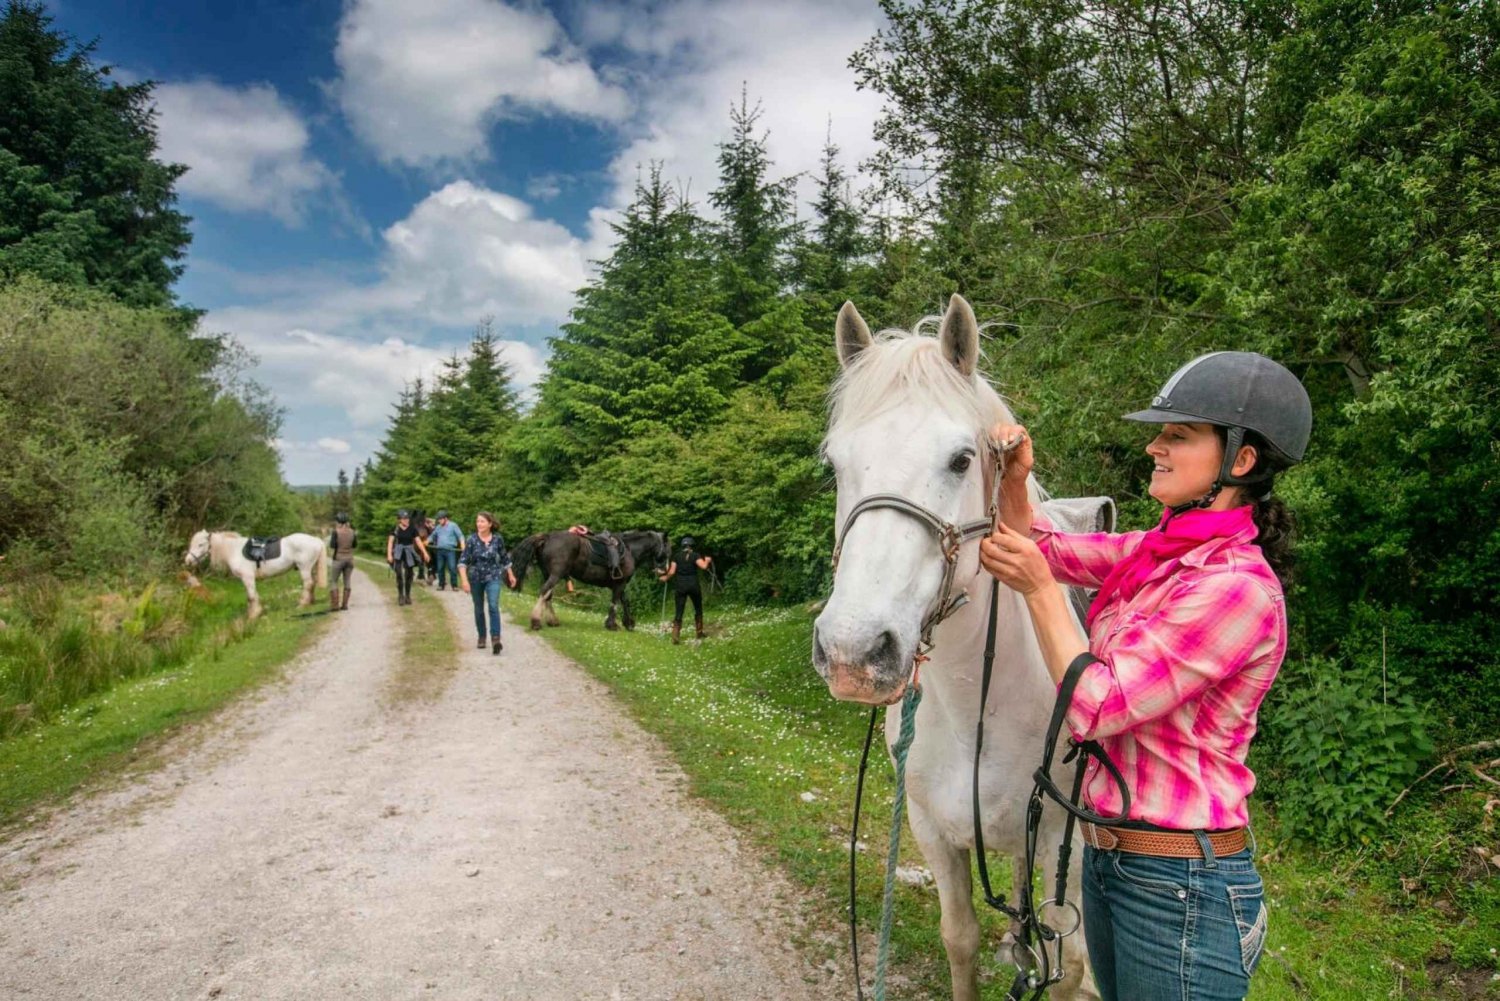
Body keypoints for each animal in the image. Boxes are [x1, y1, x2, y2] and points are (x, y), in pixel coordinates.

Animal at [183, 531, 328, 618]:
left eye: (200, 544)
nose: (188, 561)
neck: (234, 550)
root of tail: (316, 540)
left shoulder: (247, 578)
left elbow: (251, 596)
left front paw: (253, 615)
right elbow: (253, 596)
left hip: (304, 568)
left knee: (308, 584)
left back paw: (302, 603)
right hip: (310, 568)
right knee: (312, 583)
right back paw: (311, 601)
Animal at [510, 528, 669, 630]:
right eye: (668, 547)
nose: (665, 569)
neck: (630, 550)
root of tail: (548, 537)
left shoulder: (619, 584)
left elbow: (625, 602)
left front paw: (628, 623)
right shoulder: (620, 583)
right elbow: (615, 602)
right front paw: (612, 625)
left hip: (547, 574)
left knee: (547, 595)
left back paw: (552, 621)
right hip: (556, 574)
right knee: (544, 591)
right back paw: (536, 622)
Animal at [816, 297, 1110, 1001]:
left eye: (960, 460)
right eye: (833, 465)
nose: (852, 652)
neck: (981, 707)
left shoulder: (1063, 844)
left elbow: (1069, 965)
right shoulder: (931, 829)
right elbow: (961, 938)